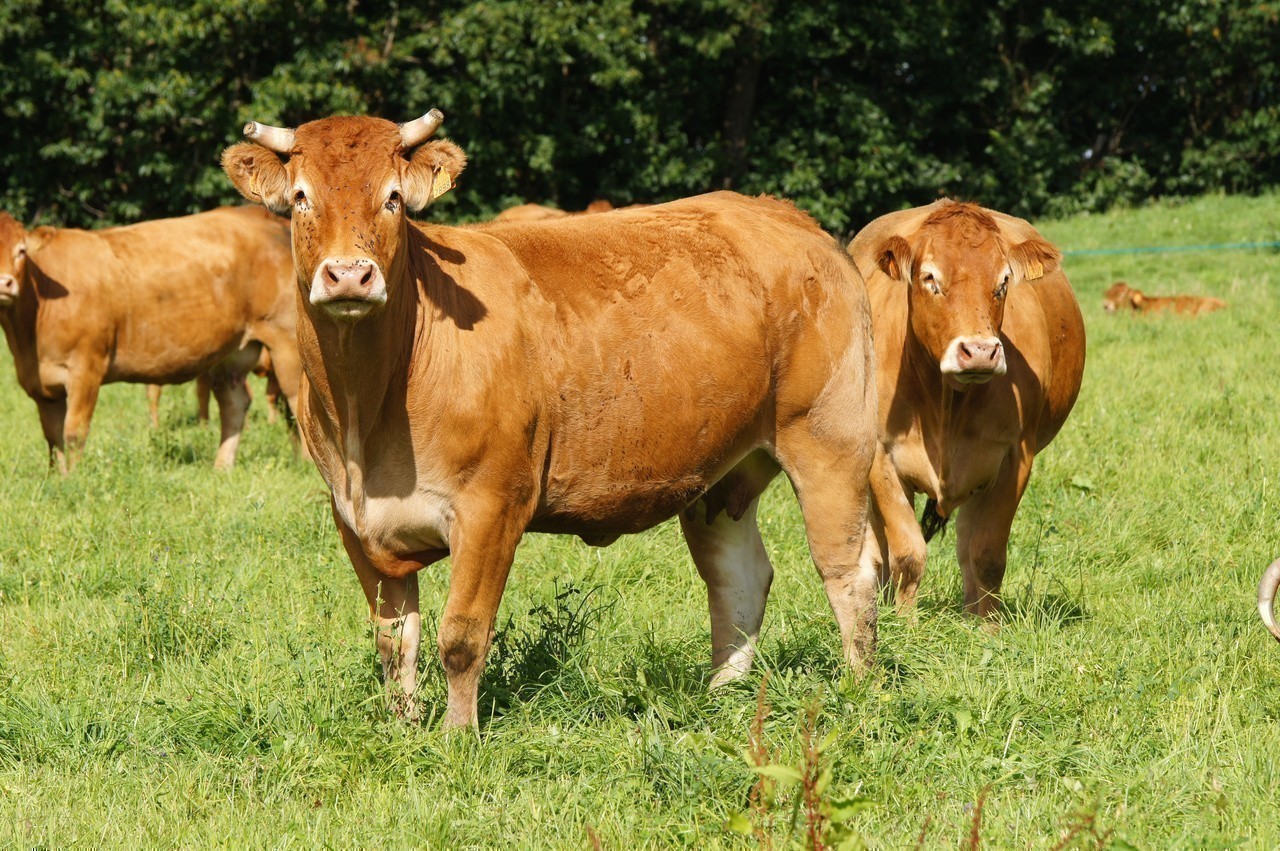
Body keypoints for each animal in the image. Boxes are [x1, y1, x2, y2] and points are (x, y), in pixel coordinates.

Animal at [0, 207, 303, 472]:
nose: (5, 283)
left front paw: (74, 479)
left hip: (286, 342)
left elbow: (73, 433)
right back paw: (222, 467)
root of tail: (260, 215)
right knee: (234, 404)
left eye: (21, 251)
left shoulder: (85, 370)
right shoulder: (42, 387)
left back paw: (306, 463)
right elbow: (53, 438)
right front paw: (58, 478)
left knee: (296, 400)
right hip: (231, 352)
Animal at [221, 110, 879, 728]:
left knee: (849, 571)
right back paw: (723, 698)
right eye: (301, 197)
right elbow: (394, 644)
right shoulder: (353, 519)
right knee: (738, 579)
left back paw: (860, 691)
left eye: (393, 198)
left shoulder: (492, 507)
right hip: (721, 477)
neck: (370, 412)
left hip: (831, 443)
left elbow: (461, 637)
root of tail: (784, 215)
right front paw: (404, 731)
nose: (349, 275)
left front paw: (457, 740)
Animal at [848, 200, 1086, 616]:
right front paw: (904, 624)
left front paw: (986, 626)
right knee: (881, 550)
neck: (945, 404)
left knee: (967, 544)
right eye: (929, 278)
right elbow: (907, 554)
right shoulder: (881, 457)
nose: (979, 351)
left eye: (1004, 281)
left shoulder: (1014, 458)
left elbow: (987, 555)